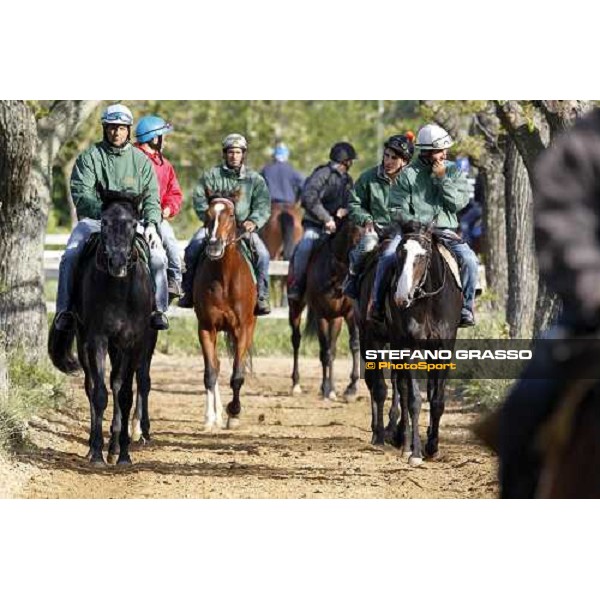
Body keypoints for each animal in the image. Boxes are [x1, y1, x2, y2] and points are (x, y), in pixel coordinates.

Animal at [48, 188, 156, 464]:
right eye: (105, 221)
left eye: (133, 223)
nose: (117, 262)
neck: (119, 289)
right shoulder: (97, 339)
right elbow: (99, 393)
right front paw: (97, 452)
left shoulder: (132, 342)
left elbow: (125, 393)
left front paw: (123, 454)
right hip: (83, 340)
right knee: (90, 386)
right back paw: (94, 446)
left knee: (118, 384)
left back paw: (116, 446)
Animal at [193, 192, 256, 432]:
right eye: (207, 214)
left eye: (230, 215)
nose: (213, 246)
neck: (224, 279)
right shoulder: (206, 327)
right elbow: (210, 373)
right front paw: (210, 418)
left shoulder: (243, 329)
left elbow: (237, 375)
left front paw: (234, 412)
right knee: (217, 367)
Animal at [290, 218, 364, 400]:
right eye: (357, 242)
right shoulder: (322, 316)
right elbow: (326, 352)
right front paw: (326, 388)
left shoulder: (347, 314)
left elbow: (351, 345)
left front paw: (348, 388)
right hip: (295, 308)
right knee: (296, 340)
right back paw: (296, 384)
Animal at [358, 220, 462, 464]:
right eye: (399, 253)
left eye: (423, 256)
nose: (401, 297)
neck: (429, 302)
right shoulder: (408, 345)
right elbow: (413, 398)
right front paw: (414, 452)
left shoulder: (444, 348)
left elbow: (436, 400)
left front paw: (432, 446)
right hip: (372, 338)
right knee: (381, 386)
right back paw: (385, 436)